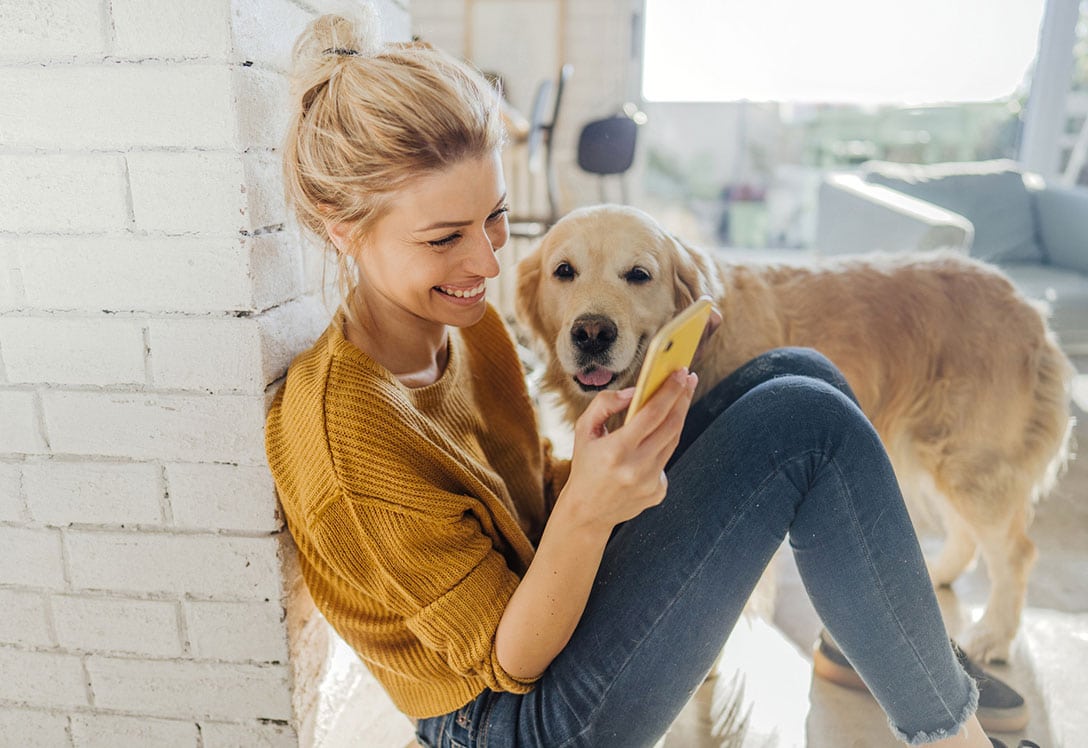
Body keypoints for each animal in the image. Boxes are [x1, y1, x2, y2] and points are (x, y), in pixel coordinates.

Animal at [515, 203, 1070, 661]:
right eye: (564, 271)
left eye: (638, 275)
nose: (591, 333)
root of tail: (1030, 308)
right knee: (968, 537)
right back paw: (932, 577)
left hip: (972, 462)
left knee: (1016, 552)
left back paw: (992, 636)